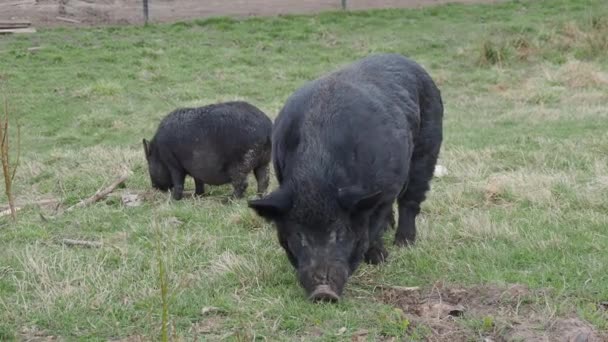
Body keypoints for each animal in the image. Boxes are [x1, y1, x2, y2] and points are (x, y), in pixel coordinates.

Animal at [144, 100, 272, 200]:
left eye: (149, 165)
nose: (154, 187)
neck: (158, 152)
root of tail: (267, 128)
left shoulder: (173, 163)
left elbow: (179, 182)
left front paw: (174, 199)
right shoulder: (195, 168)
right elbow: (198, 181)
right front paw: (197, 196)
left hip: (240, 162)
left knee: (242, 183)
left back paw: (228, 200)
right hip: (264, 160)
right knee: (264, 180)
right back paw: (259, 197)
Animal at [247, 54, 442, 302]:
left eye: (339, 232)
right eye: (299, 235)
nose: (323, 292)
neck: (318, 176)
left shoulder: (387, 188)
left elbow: (373, 225)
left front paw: (379, 259)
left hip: (428, 146)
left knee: (412, 198)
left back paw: (404, 244)